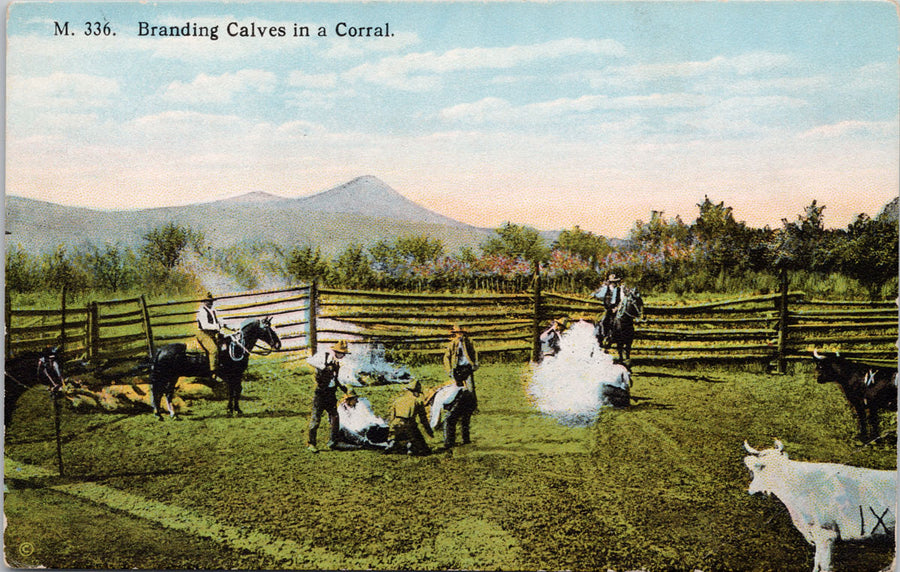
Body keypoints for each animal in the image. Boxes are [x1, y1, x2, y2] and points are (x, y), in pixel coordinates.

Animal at [150, 316, 282, 418]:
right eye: (267, 328)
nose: (278, 344)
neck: (236, 346)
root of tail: (161, 350)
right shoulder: (234, 374)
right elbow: (235, 390)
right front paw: (235, 410)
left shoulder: (234, 376)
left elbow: (233, 391)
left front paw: (232, 409)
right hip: (167, 376)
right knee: (160, 392)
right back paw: (164, 414)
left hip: (171, 377)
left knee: (164, 393)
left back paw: (167, 414)